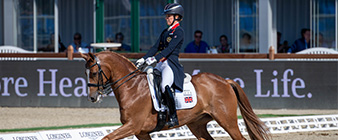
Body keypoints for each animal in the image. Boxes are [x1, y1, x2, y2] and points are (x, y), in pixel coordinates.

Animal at [81, 51, 270, 140]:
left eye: (94, 73)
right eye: (86, 73)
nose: (92, 97)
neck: (132, 87)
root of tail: (224, 81)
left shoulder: (133, 126)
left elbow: (106, 137)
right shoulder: (141, 132)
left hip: (227, 121)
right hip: (197, 124)